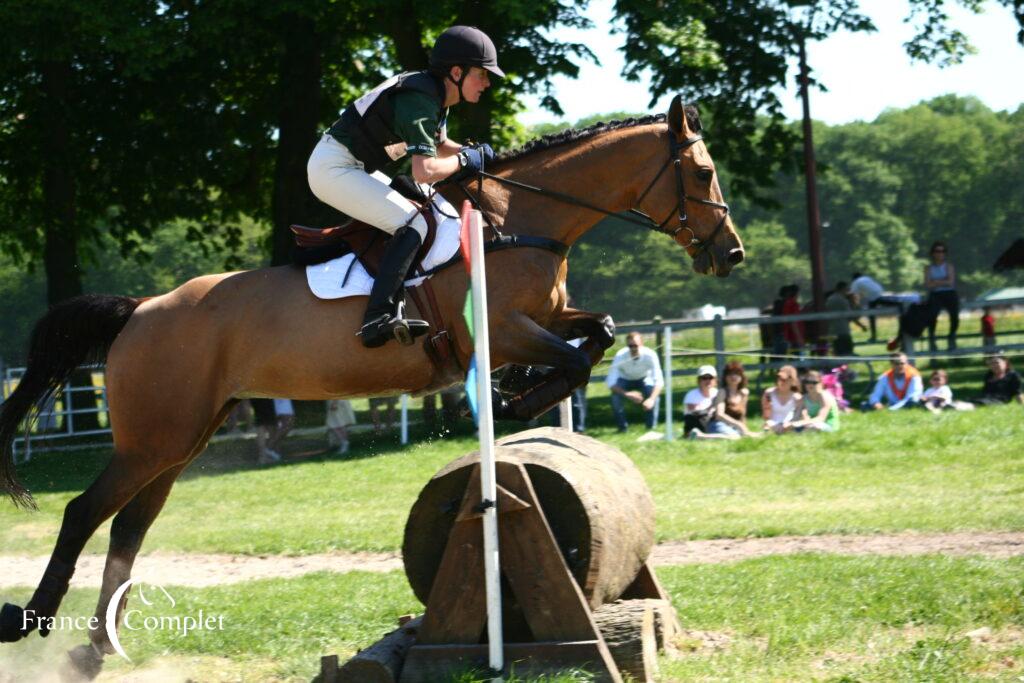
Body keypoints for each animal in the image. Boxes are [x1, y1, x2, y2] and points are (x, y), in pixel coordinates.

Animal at [0, 93, 741, 671]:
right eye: (702, 171)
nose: (730, 253)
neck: (516, 221)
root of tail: (140, 310)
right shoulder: (500, 330)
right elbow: (579, 358)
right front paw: (513, 400)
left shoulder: (546, 317)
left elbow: (601, 332)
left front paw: (521, 396)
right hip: (152, 440)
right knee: (84, 513)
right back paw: (32, 621)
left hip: (179, 441)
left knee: (128, 527)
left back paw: (94, 650)